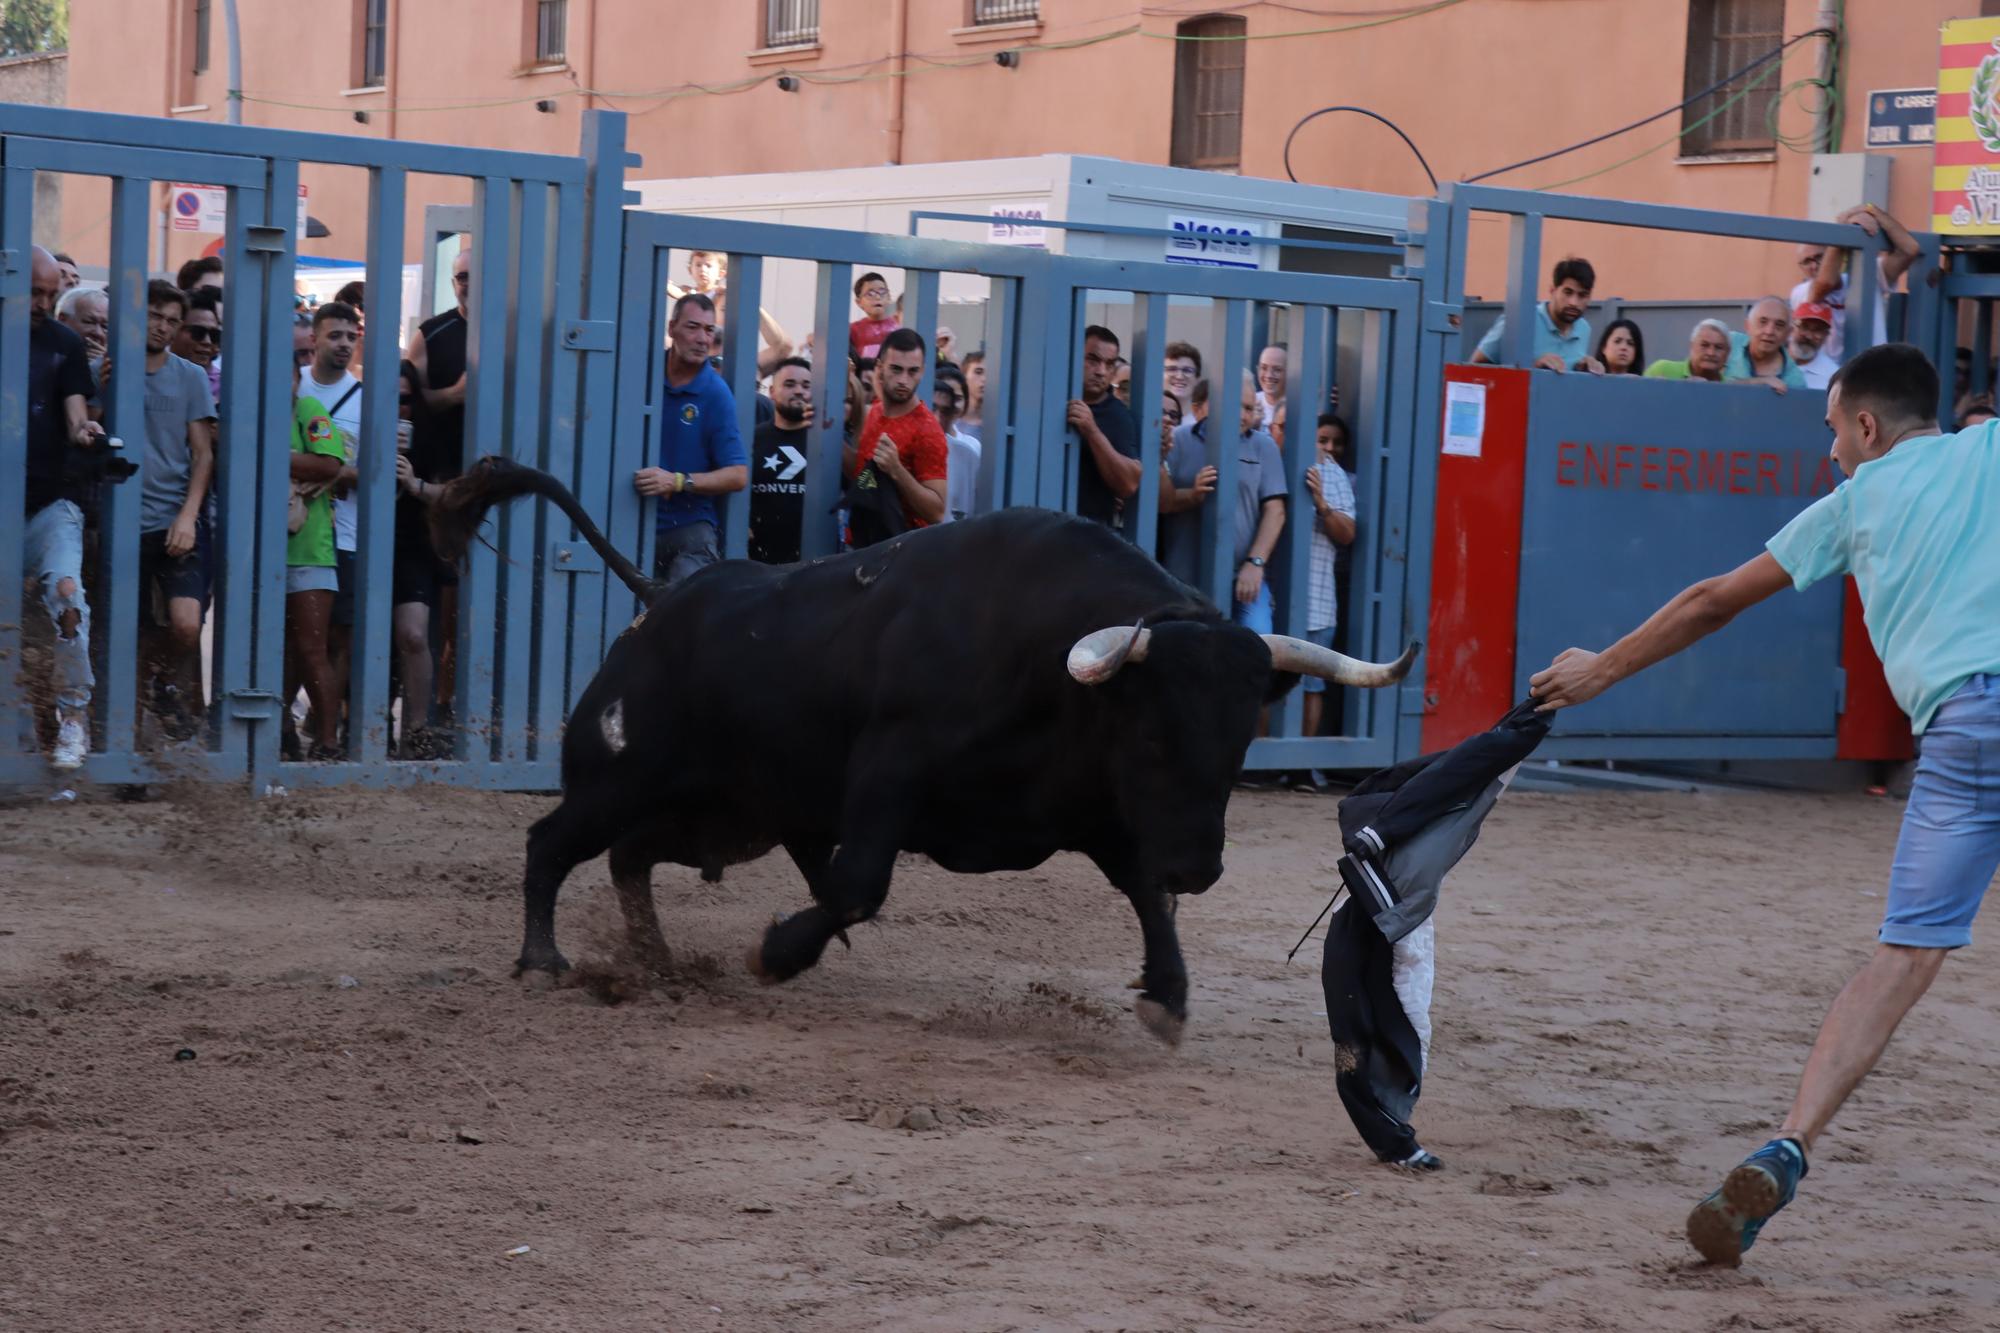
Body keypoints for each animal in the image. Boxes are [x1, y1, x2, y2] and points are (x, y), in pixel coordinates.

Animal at [430, 456, 1416, 1040]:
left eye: (1238, 739)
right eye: (1152, 731)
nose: (1201, 867)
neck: (1048, 667)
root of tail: (657, 603)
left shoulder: (1090, 811)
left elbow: (1142, 890)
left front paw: (1167, 994)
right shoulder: (890, 774)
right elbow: (855, 884)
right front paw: (776, 952)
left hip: (725, 814)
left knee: (630, 859)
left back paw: (659, 965)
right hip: (618, 779)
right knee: (554, 843)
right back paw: (543, 961)